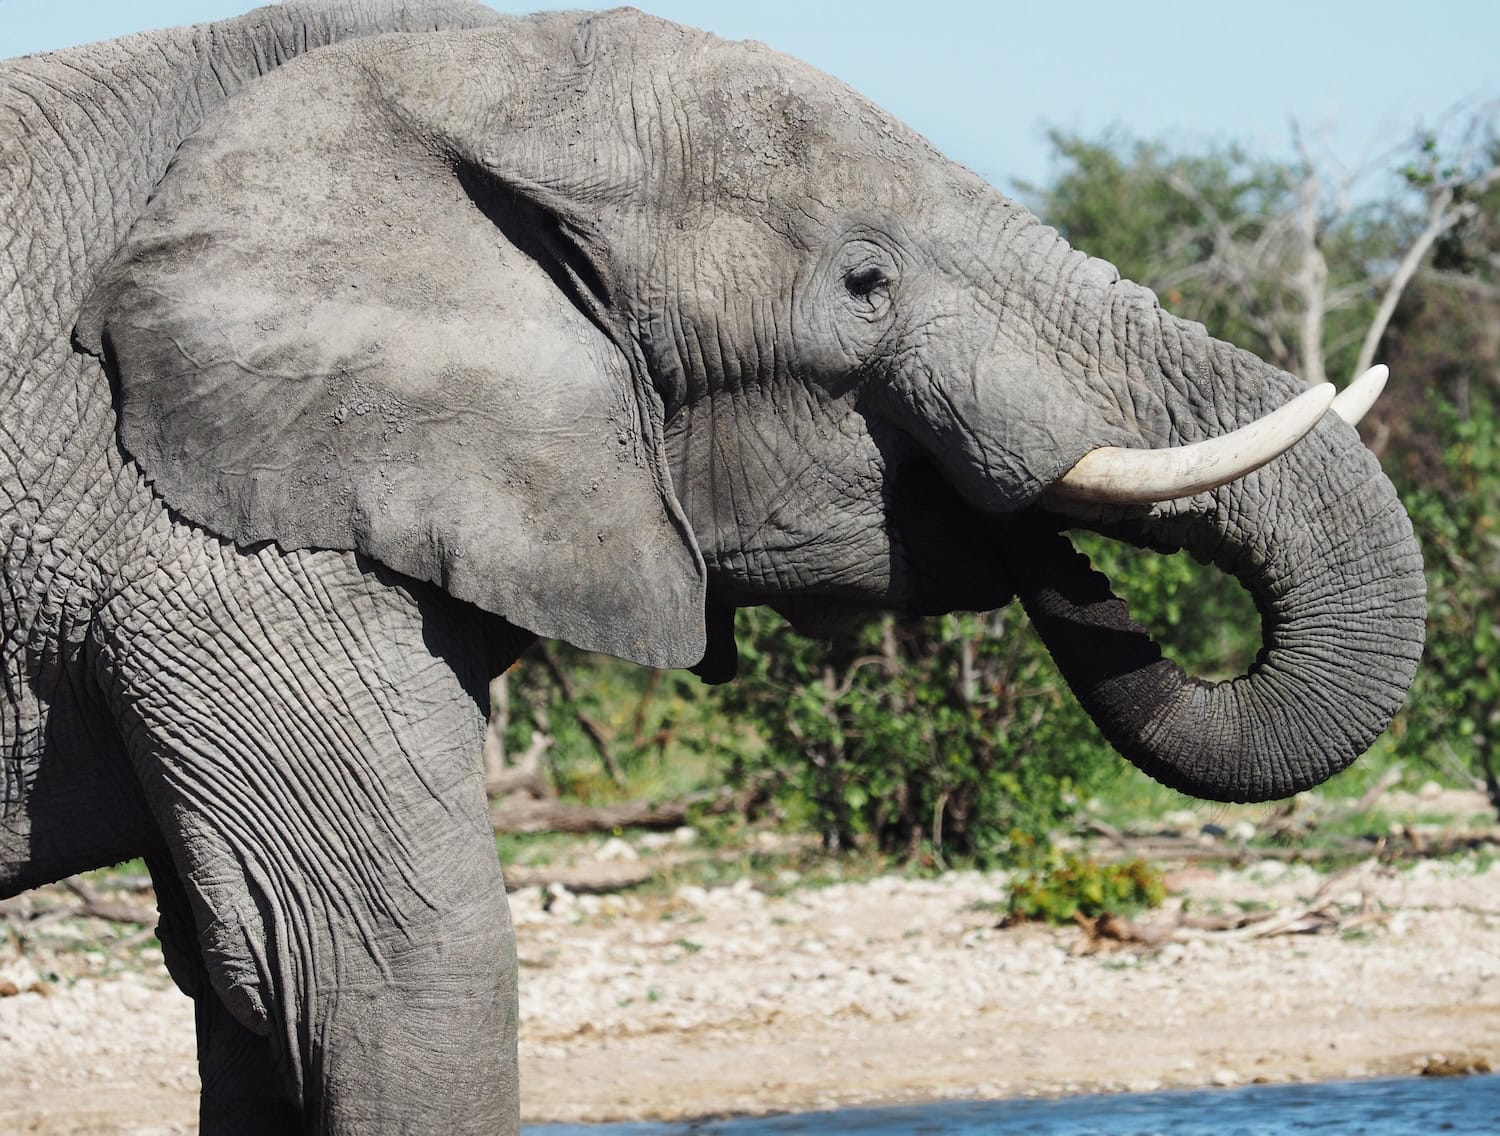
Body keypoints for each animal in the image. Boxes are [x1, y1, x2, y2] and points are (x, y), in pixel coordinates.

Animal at [0, 2, 1424, 1132]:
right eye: (864, 281)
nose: (994, 499)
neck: (461, 63)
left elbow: (248, 990)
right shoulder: (213, 542)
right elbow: (379, 959)